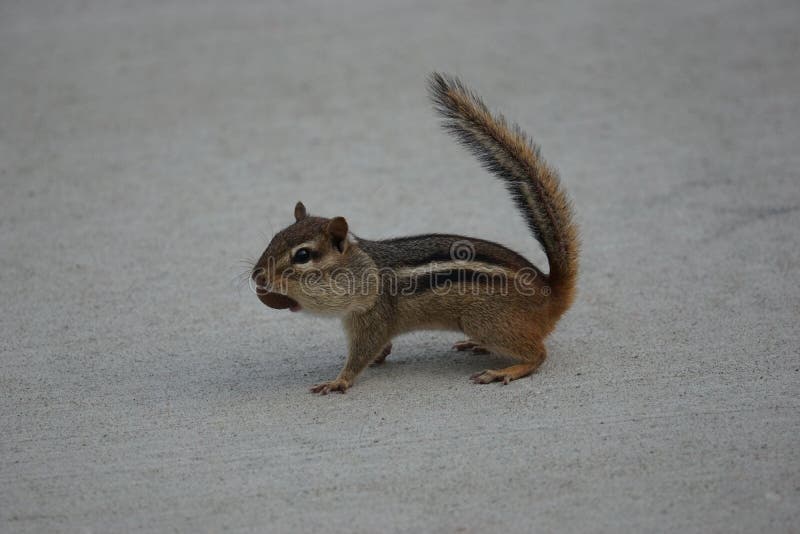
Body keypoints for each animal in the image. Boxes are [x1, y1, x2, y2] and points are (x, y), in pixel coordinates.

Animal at [252, 73, 579, 394]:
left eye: (303, 255)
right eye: (274, 237)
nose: (257, 277)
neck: (364, 270)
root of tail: (550, 291)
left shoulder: (373, 317)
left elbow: (361, 355)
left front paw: (338, 381)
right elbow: (380, 348)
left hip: (485, 321)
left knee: (539, 354)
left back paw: (505, 371)